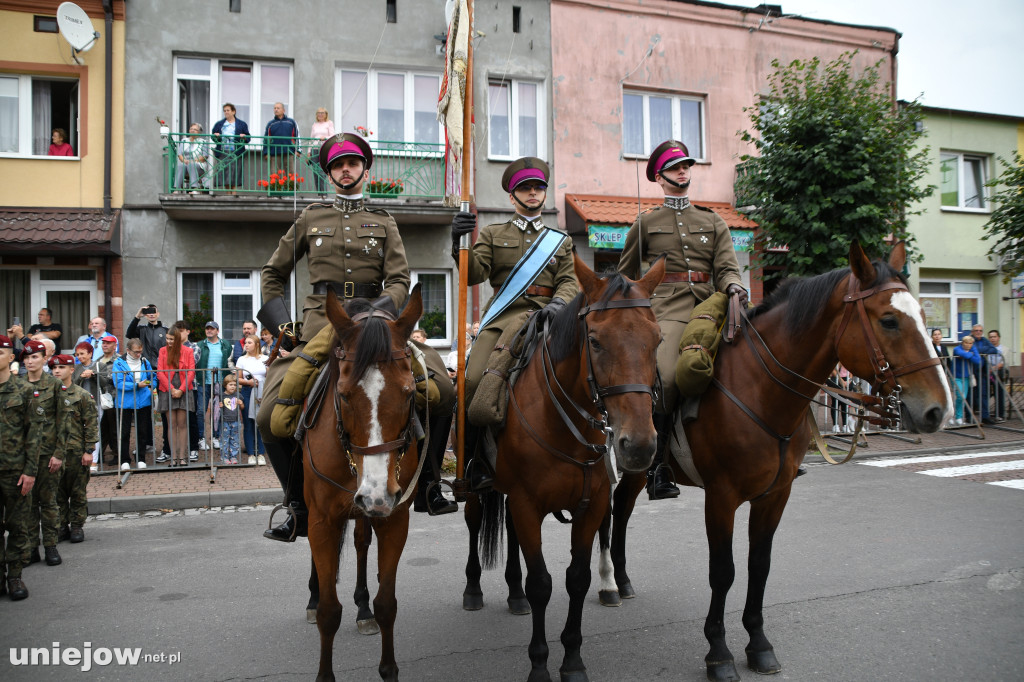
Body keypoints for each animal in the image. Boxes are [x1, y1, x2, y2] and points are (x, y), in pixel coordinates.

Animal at [305, 284, 425, 679]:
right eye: (343, 394)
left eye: (409, 392)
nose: (376, 495)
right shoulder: (322, 521)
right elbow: (329, 612)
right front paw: (324, 674)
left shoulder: (395, 519)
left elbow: (387, 603)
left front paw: (388, 669)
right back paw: (312, 598)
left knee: (360, 542)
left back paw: (362, 608)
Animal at [468, 251, 667, 675]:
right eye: (594, 341)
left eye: (657, 339)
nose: (639, 445)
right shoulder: (528, 503)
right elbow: (541, 583)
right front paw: (540, 664)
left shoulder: (590, 505)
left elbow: (577, 578)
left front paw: (573, 660)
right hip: (478, 486)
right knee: (475, 523)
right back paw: (473, 588)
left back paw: (514, 594)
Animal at [598, 241, 950, 675]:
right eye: (888, 320)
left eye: (922, 314)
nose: (938, 410)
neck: (761, 387)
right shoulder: (721, 497)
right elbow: (723, 572)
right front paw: (719, 651)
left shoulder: (775, 495)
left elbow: (759, 566)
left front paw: (759, 643)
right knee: (610, 512)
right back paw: (609, 585)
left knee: (623, 511)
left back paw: (623, 579)